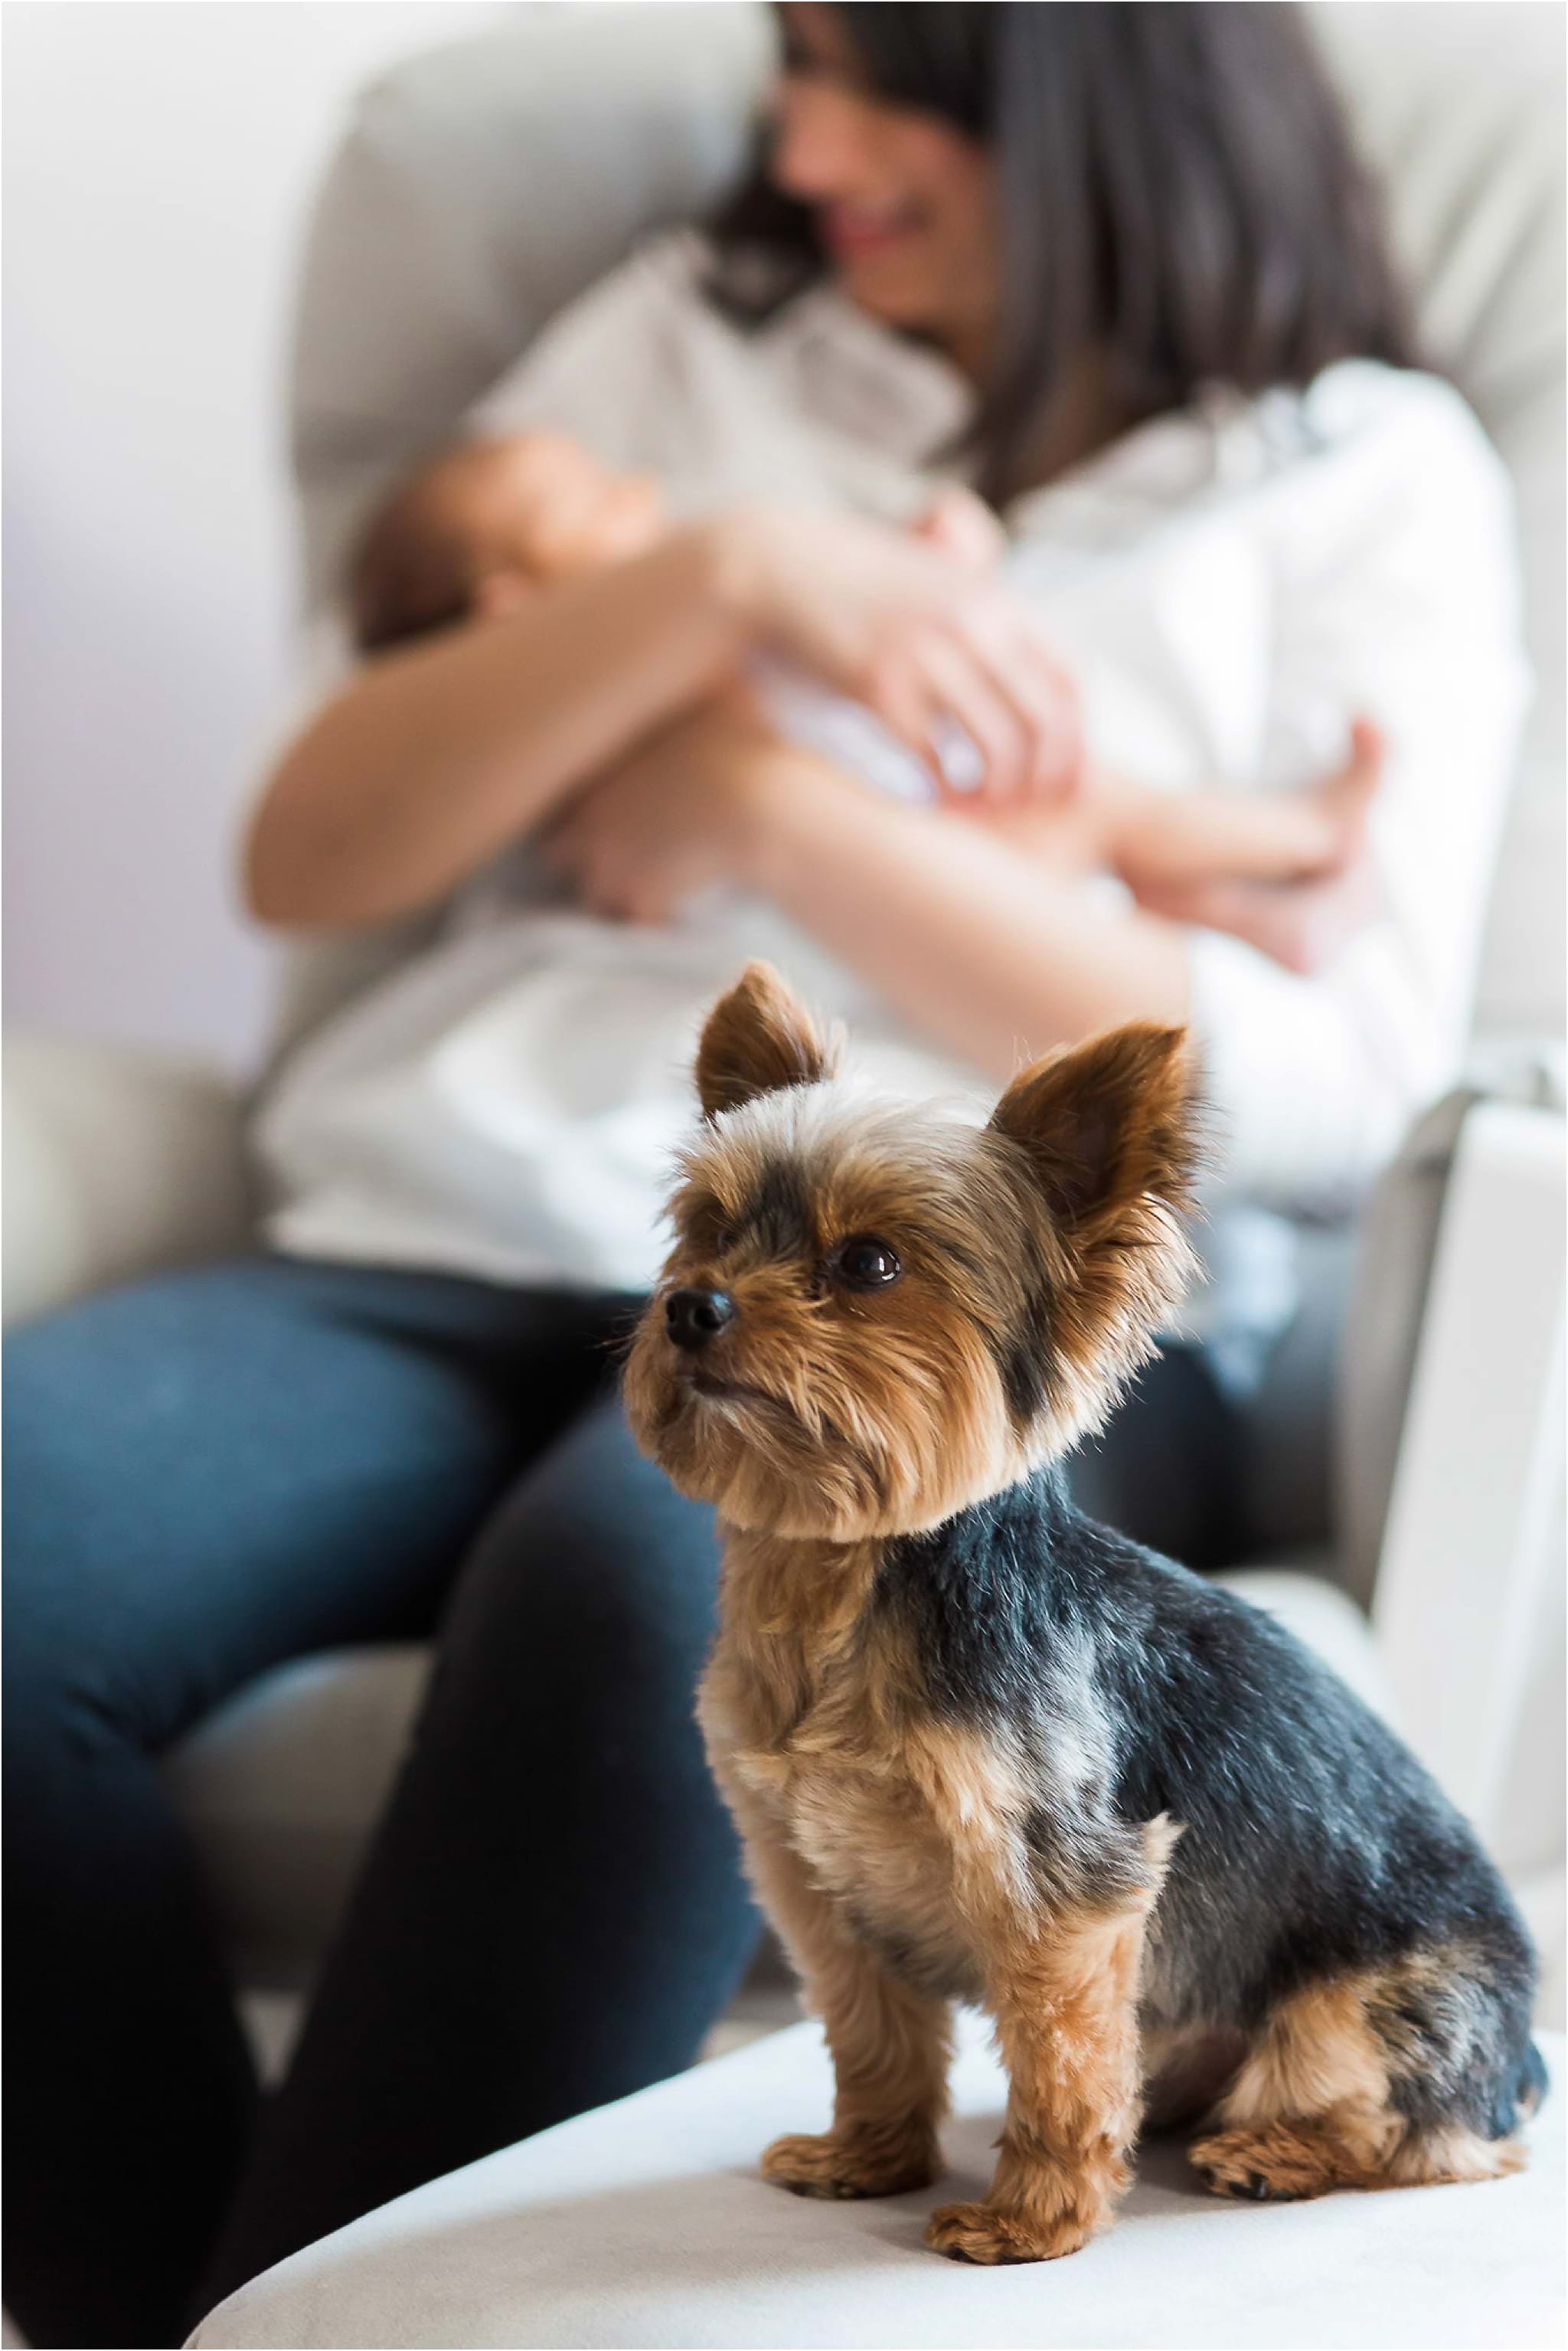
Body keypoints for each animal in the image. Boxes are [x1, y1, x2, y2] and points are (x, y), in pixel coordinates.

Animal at [620, 954, 1542, 2257]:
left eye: (869, 1264)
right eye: (706, 1229)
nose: (691, 1306)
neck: (841, 1578)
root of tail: (1525, 2055)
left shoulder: (1057, 1885)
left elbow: (1059, 2061)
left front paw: (1031, 2220)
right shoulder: (812, 1878)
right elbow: (871, 2031)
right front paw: (868, 2158)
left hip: (1365, 2007)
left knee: (1432, 2140)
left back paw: (1273, 2152)